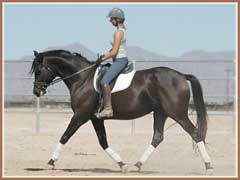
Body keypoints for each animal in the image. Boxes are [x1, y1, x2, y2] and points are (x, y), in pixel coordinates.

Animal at [30, 49, 214, 173]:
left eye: (38, 70)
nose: (37, 91)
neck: (83, 79)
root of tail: (182, 76)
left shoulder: (81, 115)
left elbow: (65, 136)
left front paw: (51, 161)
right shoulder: (96, 118)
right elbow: (103, 142)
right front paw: (122, 165)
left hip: (177, 113)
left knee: (195, 133)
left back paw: (208, 166)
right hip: (160, 113)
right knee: (158, 137)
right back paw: (138, 164)